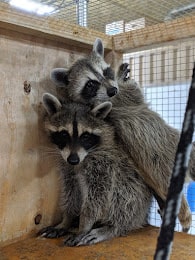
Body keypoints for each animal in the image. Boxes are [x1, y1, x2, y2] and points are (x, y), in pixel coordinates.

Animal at [39, 93, 152, 246]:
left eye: (85, 136)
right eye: (63, 134)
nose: (73, 160)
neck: (81, 160)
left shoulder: (105, 164)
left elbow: (97, 197)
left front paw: (84, 225)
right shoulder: (67, 167)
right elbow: (70, 192)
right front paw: (66, 220)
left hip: (135, 193)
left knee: (124, 197)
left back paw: (112, 227)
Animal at [50, 39, 193, 232]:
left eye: (106, 71)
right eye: (90, 84)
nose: (112, 90)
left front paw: (119, 76)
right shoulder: (119, 102)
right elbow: (134, 94)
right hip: (165, 152)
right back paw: (183, 210)